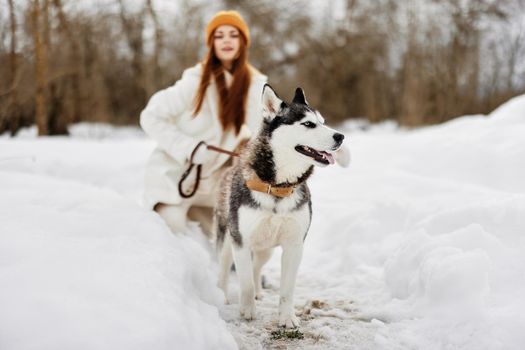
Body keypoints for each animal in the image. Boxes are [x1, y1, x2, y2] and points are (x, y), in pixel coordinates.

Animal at [213, 84, 344, 328]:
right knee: (225, 269)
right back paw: (222, 294)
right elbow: (244, 281)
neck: (277, 187)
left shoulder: (294, 244)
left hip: (266, 249)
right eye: (308, 124)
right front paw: (247, 310)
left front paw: (287, 317)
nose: (341, 136)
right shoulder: (241, 242)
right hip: (226, 239)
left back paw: (258, 292)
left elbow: (287, 289)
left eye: (322, 121)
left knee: (257, 266)